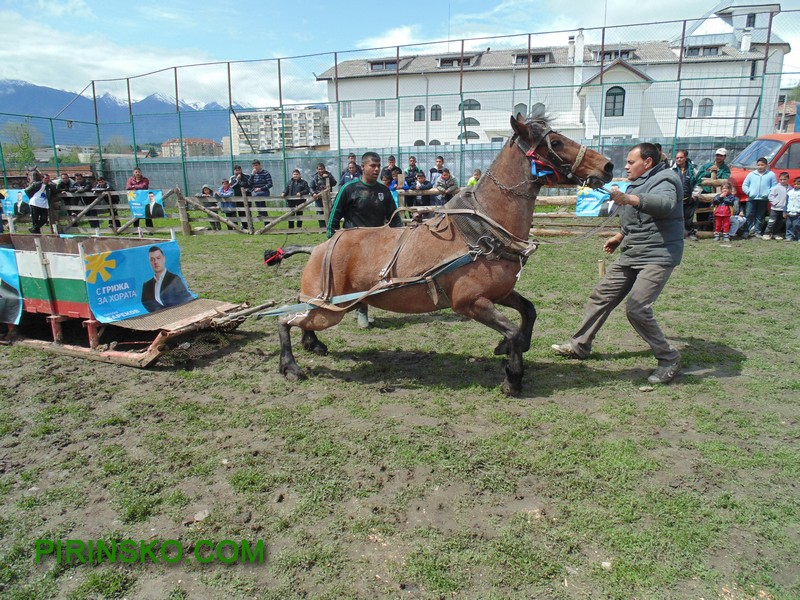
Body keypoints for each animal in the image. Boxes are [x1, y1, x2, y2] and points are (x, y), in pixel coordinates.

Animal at [276, 113, 612, 396]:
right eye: (556, 143)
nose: (607, 165)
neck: (481, 232)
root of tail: (318, 247)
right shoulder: (469, 302)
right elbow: (513, 330)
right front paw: (513, 377)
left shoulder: (500, 292)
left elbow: (528, 312)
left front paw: (506, 349)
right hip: (329, 311)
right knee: (284, 320)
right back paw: (290, 366)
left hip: (327, 307)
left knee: (300, 319)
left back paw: (312, 344)